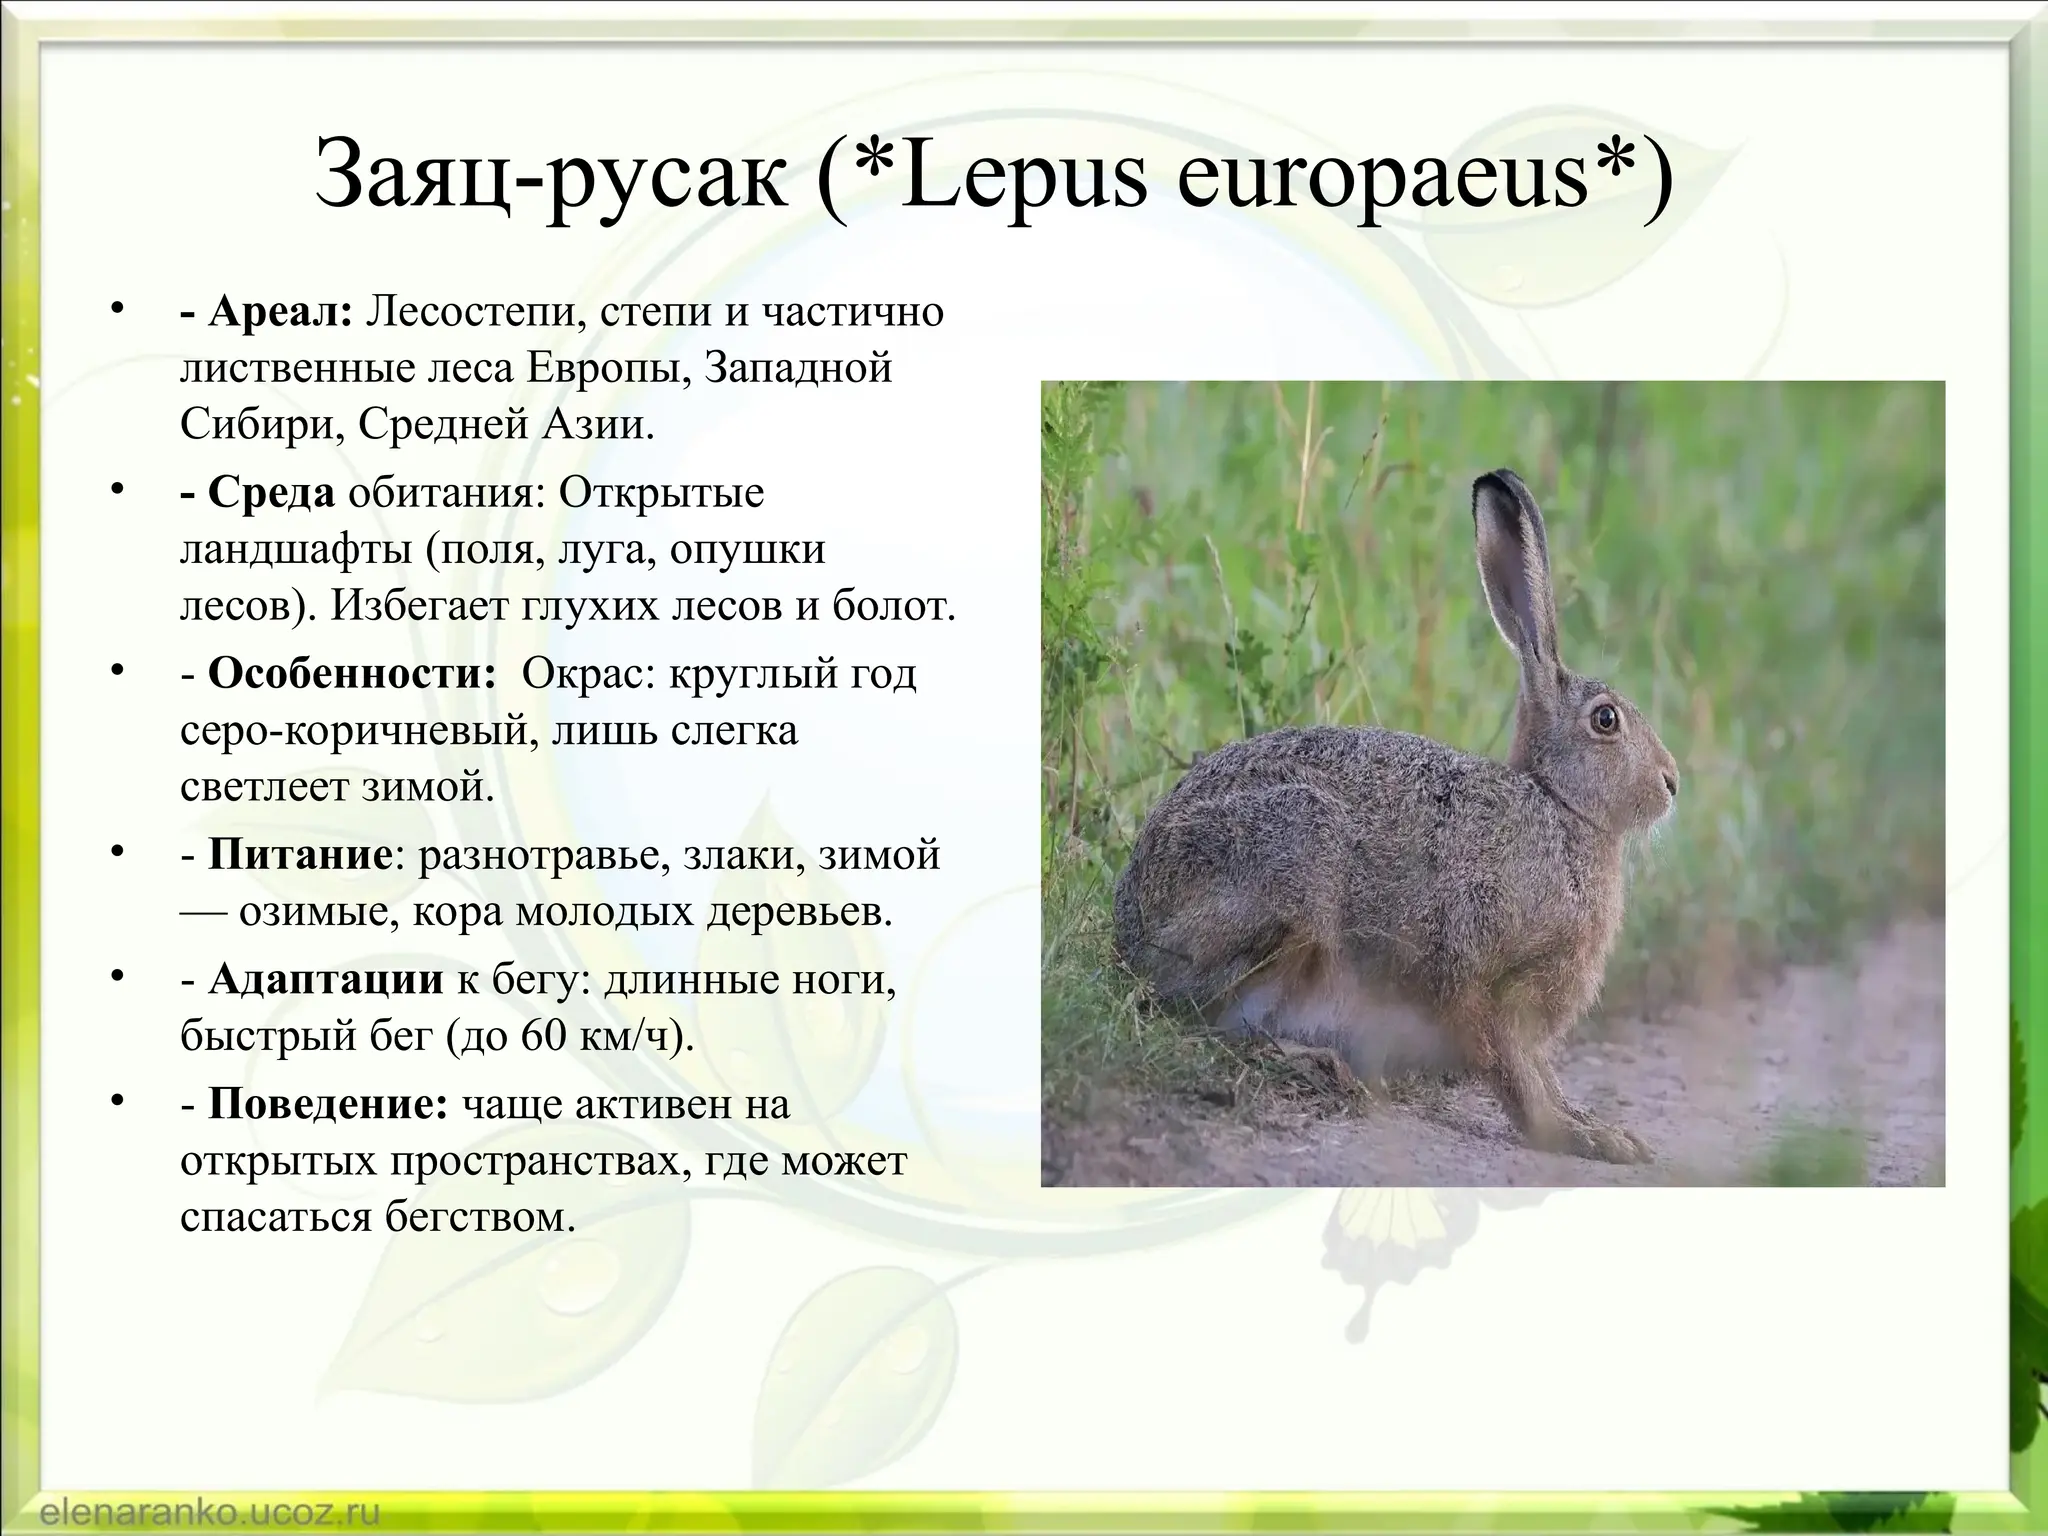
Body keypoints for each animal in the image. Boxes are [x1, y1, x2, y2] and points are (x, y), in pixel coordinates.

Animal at [1113, 468, 1678, 1164]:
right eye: (1606, 720)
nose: (1672, 782)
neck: (1558, 805)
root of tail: (1131, 926)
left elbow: (1543, 1076)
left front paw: (1605, 1131)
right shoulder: (1486, 980)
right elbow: (1515, 1075)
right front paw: (1581, 1138)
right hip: (1292, 863)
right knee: (1204, 1016)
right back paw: (1318, 1064)